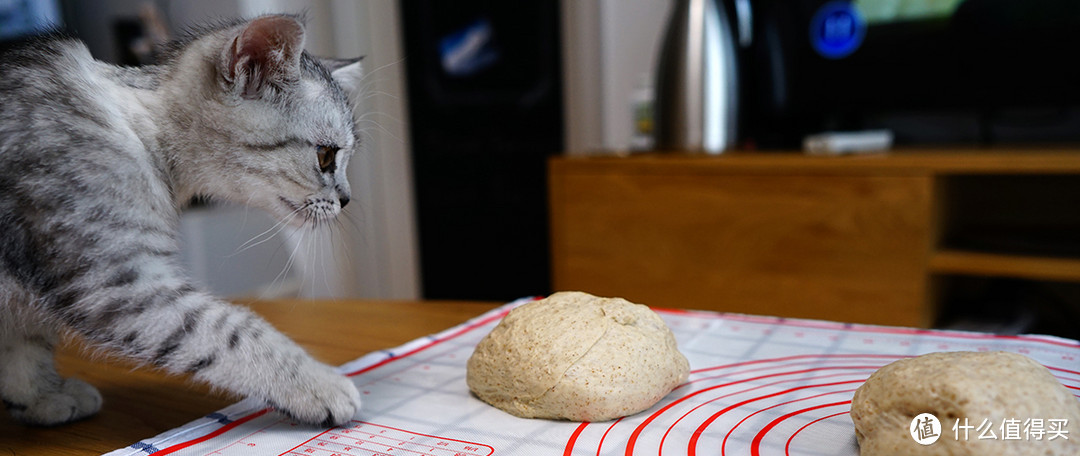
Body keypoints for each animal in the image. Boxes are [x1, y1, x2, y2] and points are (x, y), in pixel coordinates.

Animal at [0, 15, 362, 427]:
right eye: (325, 156)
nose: (347, 199)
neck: (141, 129)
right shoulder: (118, 278)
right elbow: (231, 330)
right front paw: (319, 385)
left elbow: (23, 346)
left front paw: (40, 396)